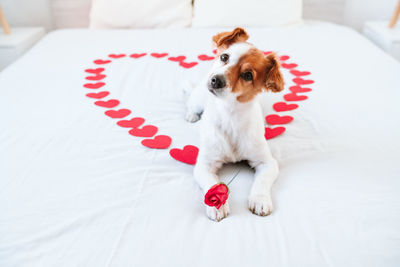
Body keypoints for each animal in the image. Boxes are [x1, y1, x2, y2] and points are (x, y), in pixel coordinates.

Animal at [185, 27, 284, 222]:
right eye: (224, 57)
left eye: (247, 75)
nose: (216, 80)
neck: (230, 115)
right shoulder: (204, 165)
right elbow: (212, 185)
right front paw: (217, 205)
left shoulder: (267, 163)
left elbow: (262, 181)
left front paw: (260, 200)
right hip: (198, 99)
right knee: (192, 104)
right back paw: (191, 115)